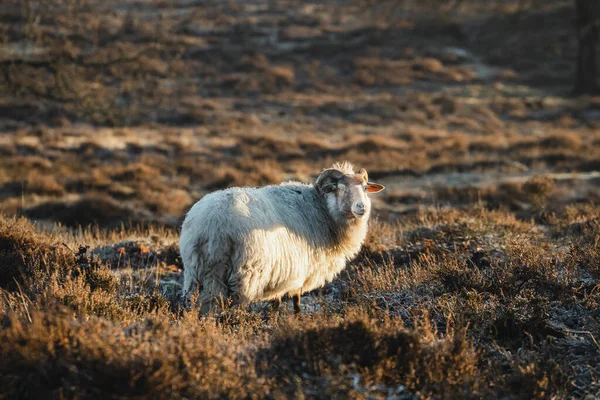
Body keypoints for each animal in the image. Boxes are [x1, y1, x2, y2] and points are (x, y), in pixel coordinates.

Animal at [178, 161, 384, 314]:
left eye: (365, 188)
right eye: (340, 188)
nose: (362, 207)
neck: (324, 210)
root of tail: (212, 223)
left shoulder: (280, 273)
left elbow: (276, 302)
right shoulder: (298, 270)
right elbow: (295, 301)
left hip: (199, 272)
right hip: (243, 273)